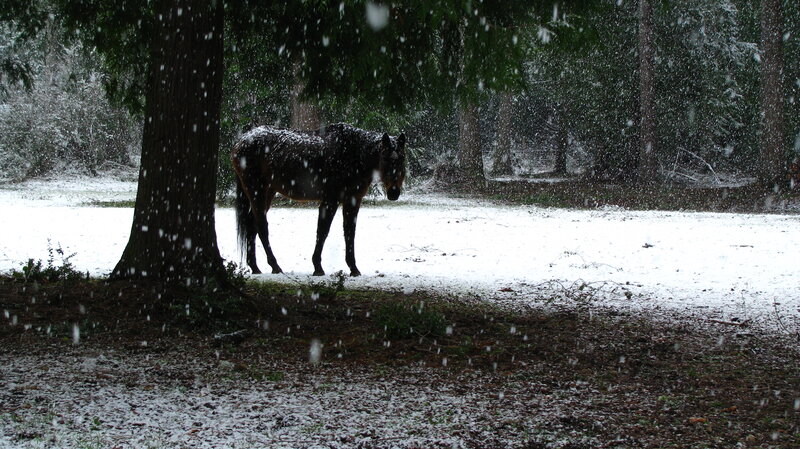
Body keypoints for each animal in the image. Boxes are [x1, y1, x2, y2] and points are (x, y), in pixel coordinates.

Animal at [231, 123, 406, 276]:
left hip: (268, 191)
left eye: (402, 159)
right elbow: (323, 231)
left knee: (252, 226)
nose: (394, 192)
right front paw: (318, 267)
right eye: (385, 157)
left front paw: (353, 268)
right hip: (257, 190)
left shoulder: (352, 200)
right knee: (262, 226)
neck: (352, 154)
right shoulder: (330, 200)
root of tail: (242, 140)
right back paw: (275, 266)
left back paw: (255, 267)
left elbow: (349, 232)